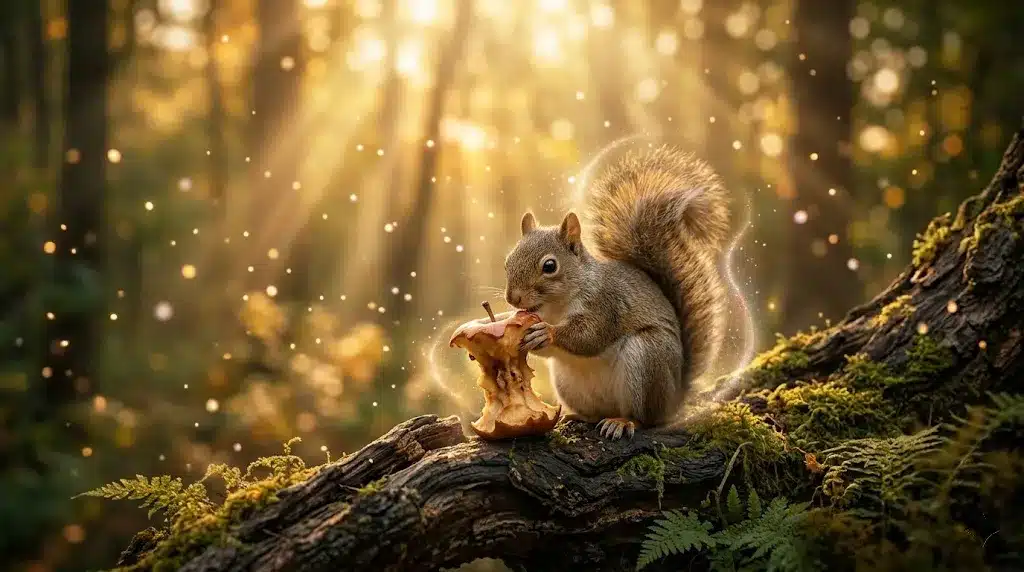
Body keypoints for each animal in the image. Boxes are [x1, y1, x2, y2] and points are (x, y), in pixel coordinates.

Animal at [503, 145, 731, 440]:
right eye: (508, 260)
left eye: (549, 266)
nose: (512, 298)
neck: (555, 307)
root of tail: (674, 397)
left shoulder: (606, 304)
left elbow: (589, 336)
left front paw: (547, 332)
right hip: (569, 383)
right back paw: (578, 417)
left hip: (648, 358)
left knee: (645, 419)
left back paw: (622, 422)